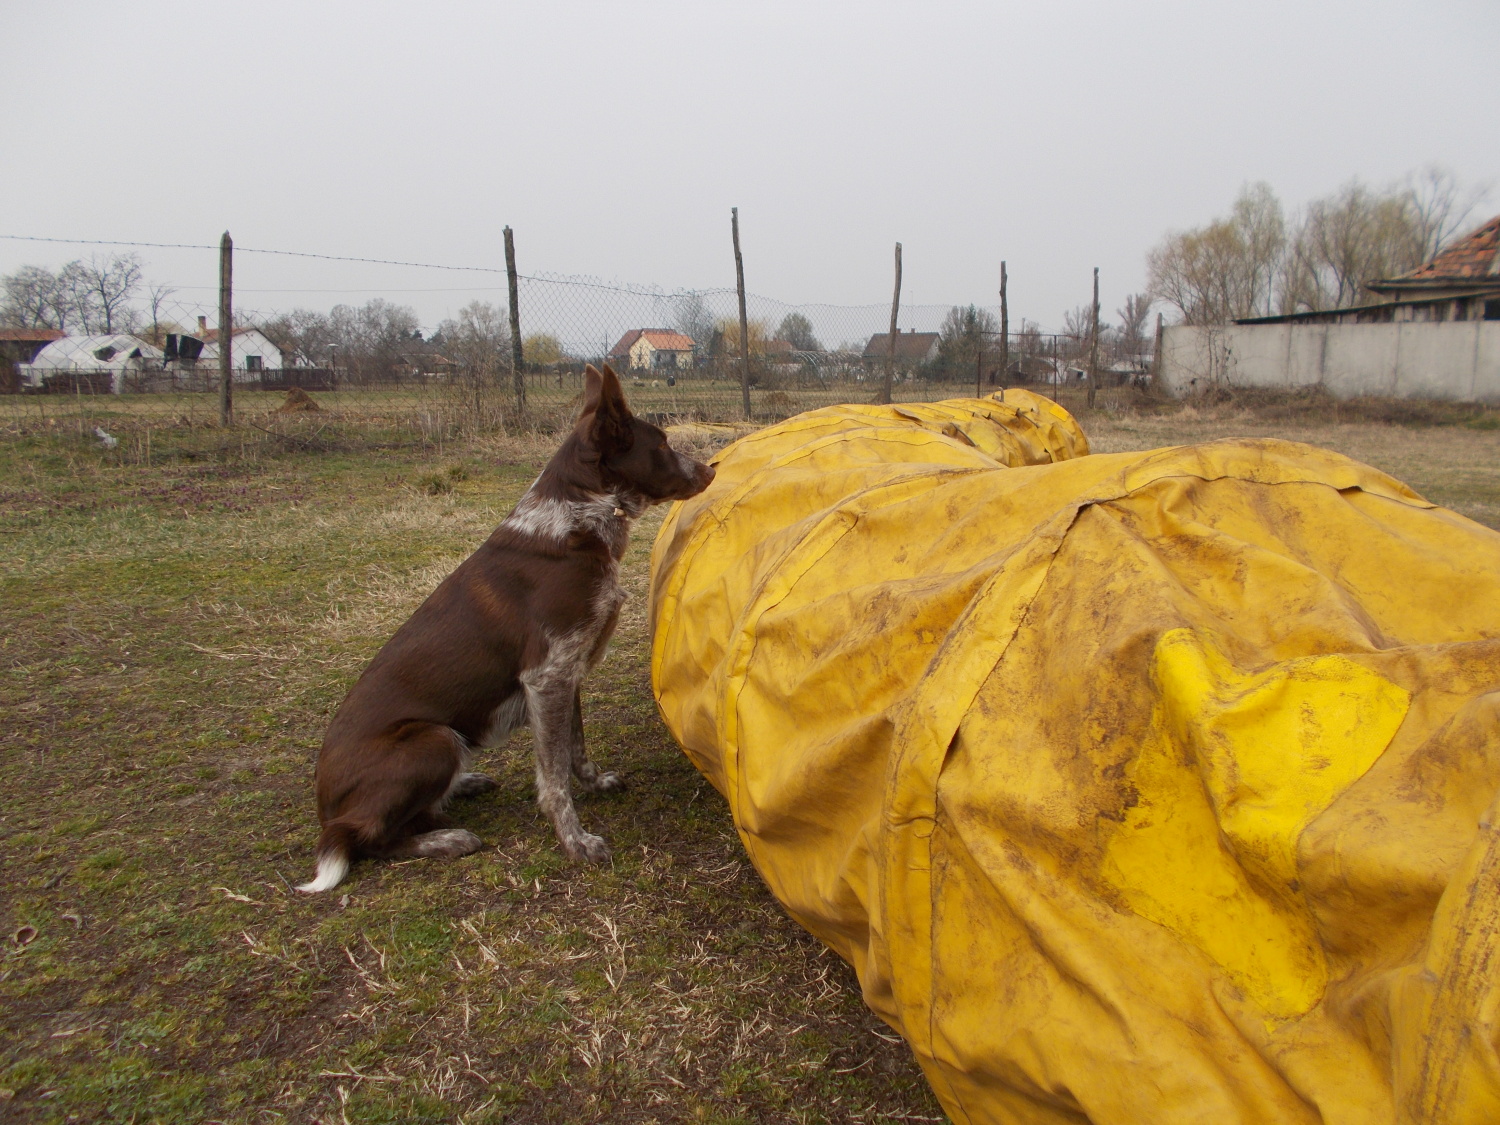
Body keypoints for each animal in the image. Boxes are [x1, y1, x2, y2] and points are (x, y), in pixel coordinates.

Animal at [298, 366, 714, 894]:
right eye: (660, 443)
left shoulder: (566, 673)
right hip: (434, 739)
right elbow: (553, 778)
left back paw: (464, 785)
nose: (711, 470)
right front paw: (576, 843)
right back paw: (446, 838)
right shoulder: (547, 676)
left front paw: (595, 783)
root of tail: (324, 811)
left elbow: (575, 749)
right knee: (368, 838)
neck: (578, 517)